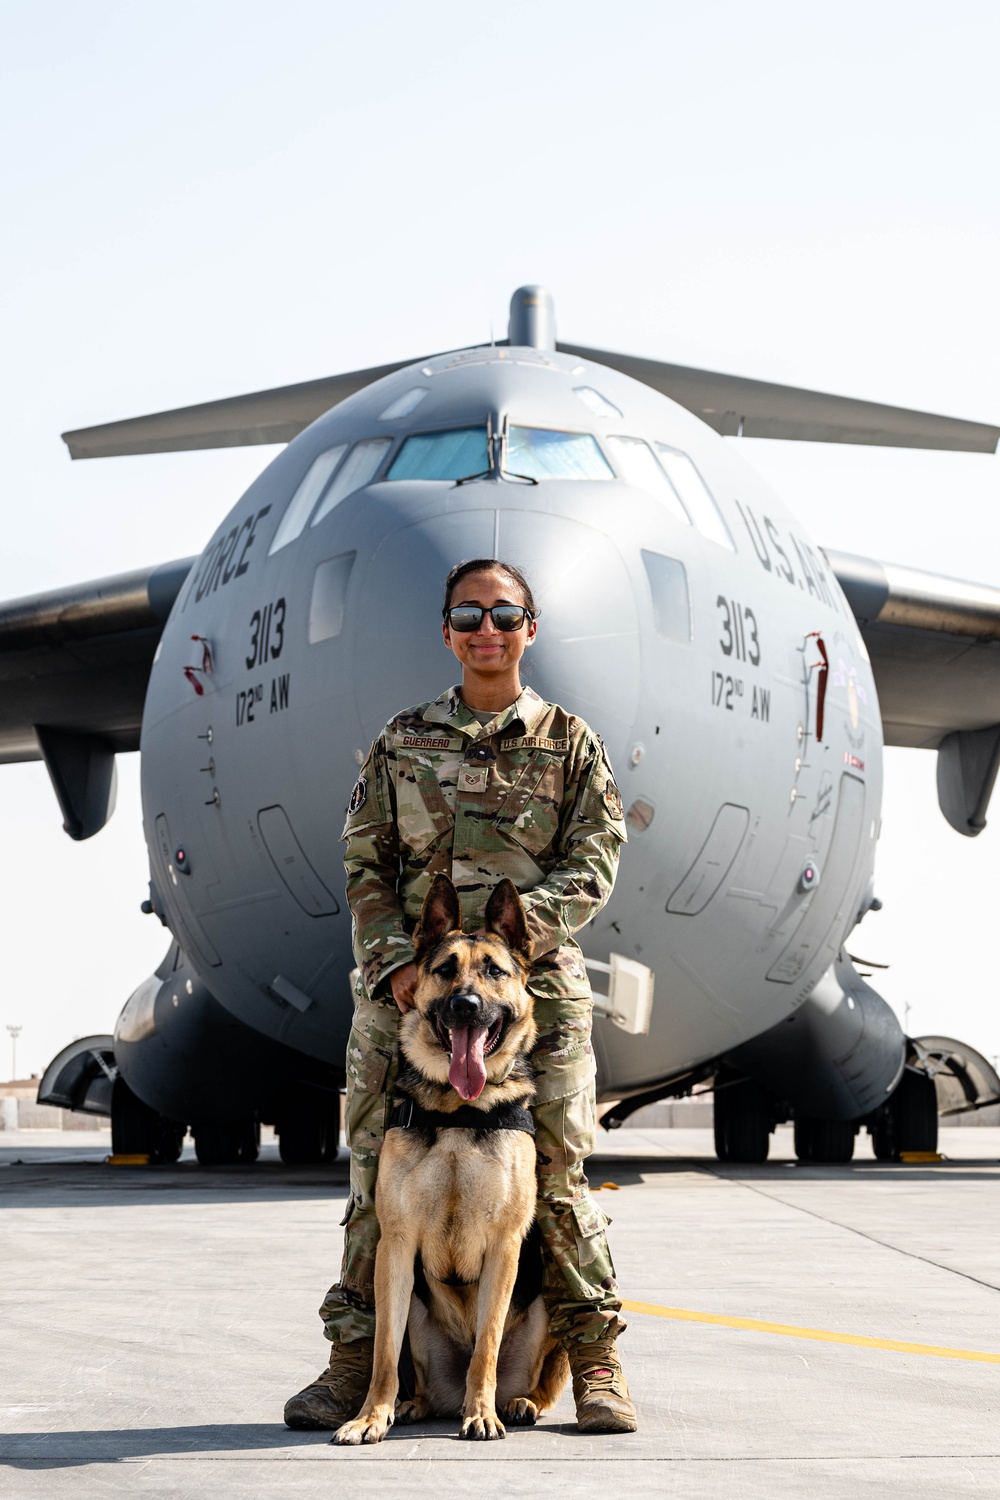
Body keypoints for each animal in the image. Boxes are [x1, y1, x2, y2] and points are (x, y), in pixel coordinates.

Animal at [332, 876, 569, 1446]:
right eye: (444, 970)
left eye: (494, 971)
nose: (465, 1005)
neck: (458, 1108)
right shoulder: (396, 1244)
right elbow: (384, 1352)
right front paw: (371, 1416)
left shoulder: (504, 1244)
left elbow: (486, 1345)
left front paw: (480, 1413)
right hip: (417, 1315)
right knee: (412, 1367)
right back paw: (414, 1404)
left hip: (547, 1309)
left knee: (532, 1376)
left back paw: (518, 1403)